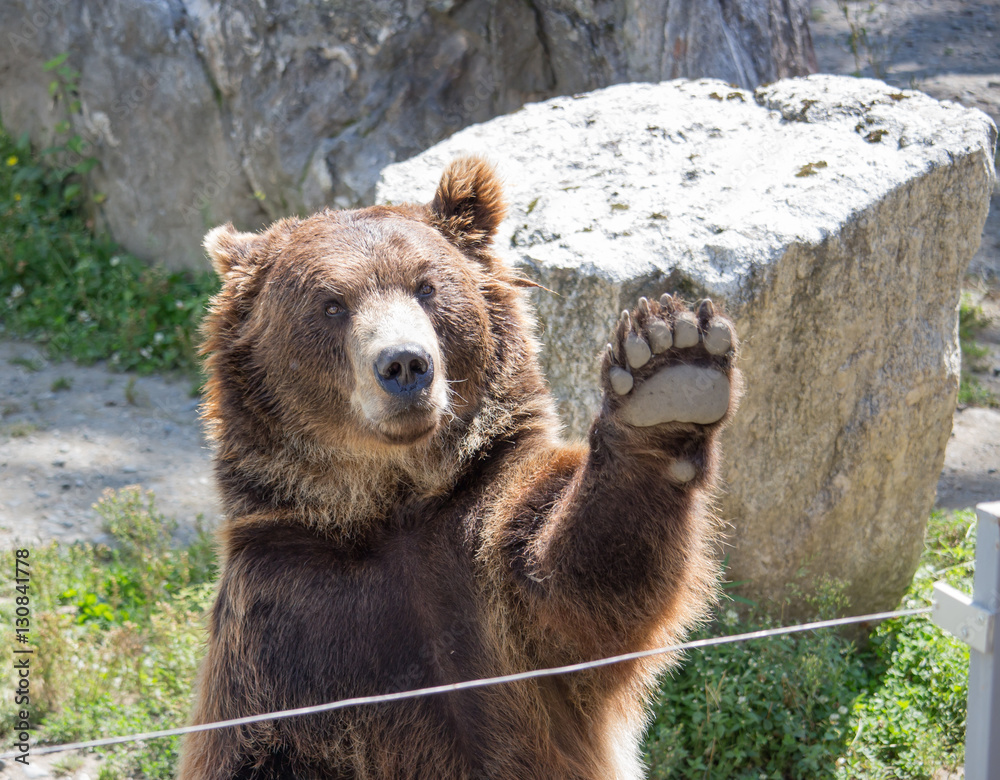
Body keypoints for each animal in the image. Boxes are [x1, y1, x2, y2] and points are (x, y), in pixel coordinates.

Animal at [178, 156, 741, 780]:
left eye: (426, 287)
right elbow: (267, 746)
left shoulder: (485, 557)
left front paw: (668, 366)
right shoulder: (285, 620)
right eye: (331, 304)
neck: (388, 506)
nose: (405, 364)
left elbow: (581, 583)